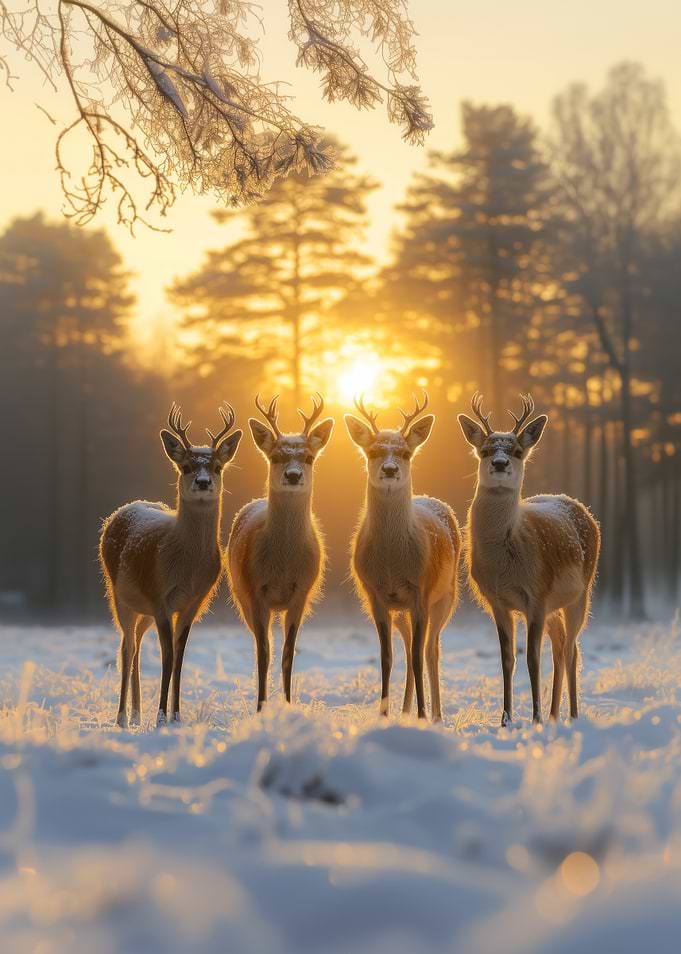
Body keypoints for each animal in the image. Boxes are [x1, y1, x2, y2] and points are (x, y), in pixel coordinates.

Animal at [100, 403, 242, 728]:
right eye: (187, 467)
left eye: (217, 467)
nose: (203, 482)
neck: (187, 568)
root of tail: (121, 511)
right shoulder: (161, 596)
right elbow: (166, 657)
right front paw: (162, 717)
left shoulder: (194, 602)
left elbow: (179, 656)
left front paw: (176, 716)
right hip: (118, 595)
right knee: (126, 647)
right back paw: (122, 718)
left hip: (143, 609)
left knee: (137, 646)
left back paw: (137, 714)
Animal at [227, 393, 334, 712]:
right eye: (275, 457)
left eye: (309, 457)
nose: (294, 475)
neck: (283, 565)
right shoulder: (256, 591)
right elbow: (264, 653)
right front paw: (261, 707)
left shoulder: (301, 593)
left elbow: (288, 653)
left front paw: (287, 703)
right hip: (241, 597)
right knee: (261, 645)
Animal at [345, 392, 461, 722]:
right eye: (372, 451)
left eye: (406, 453)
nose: (389, 470)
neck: (392, 562)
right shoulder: (376, 596)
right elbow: (387, 656)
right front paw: (384, 714)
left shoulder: (420, 592)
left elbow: (420, 657)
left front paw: (423, 715)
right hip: (402, 610)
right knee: (410, 648)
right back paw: (406, 709)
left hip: (446, 596)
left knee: (431, 650)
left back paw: (435, 715)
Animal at [458, 393, 600, 726]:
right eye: (485, 450)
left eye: (518, 451)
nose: (499, 464)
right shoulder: (498, 601)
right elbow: (507, 659)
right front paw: (506, 719)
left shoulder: (537, 594)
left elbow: (533, 660)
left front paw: (533, 718)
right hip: (554, 607)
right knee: (560, 646)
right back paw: (554, 714)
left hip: (582, 592)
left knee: (572, 650)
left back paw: (571, 716)